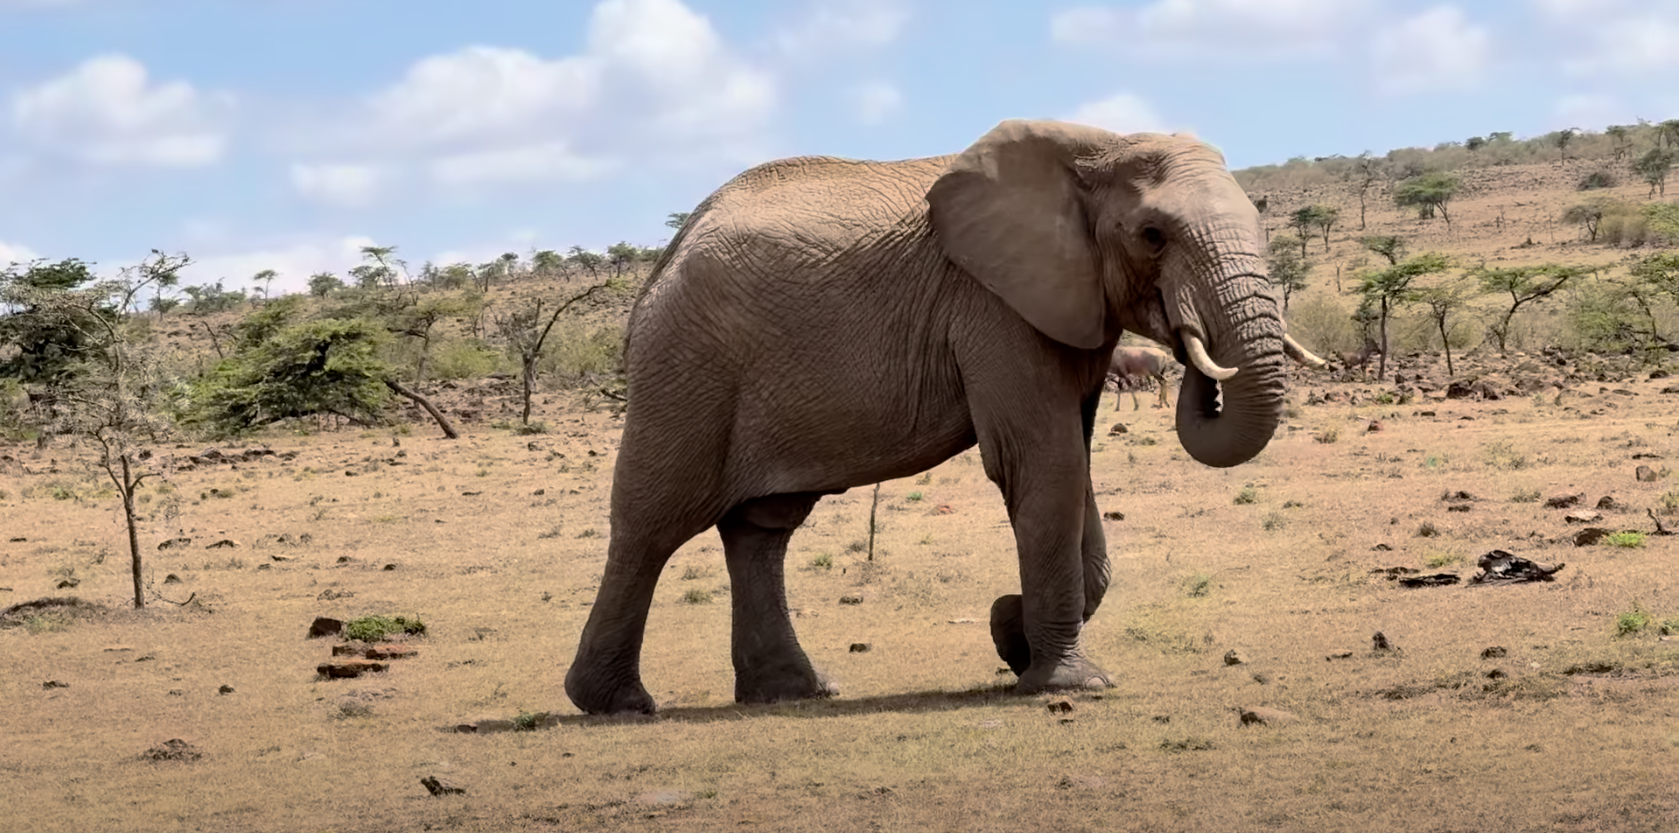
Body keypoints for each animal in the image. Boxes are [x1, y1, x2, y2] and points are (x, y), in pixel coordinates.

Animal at [564, 118, 1327, 716]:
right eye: (1152, 236)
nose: (1191, 344)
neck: (1098, 145)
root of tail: (665, 260)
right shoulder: (992, 304)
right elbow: (1041, 460)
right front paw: (1070, 680)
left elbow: (1071, 464)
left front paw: (1011, 636)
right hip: (687, 369)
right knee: (652, 524)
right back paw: (619, 704)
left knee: (761, 528)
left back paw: (795, 691)